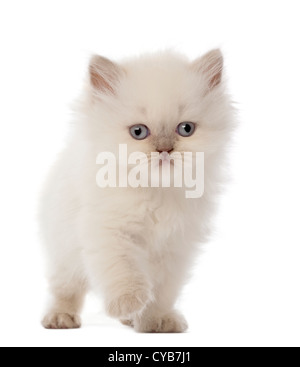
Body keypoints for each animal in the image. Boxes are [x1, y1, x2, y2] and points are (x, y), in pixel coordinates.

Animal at [39, 49, 236, 334]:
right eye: (139, 132)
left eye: (186, 129)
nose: (164, 149)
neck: (157, 191)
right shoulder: (110, 232)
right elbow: (124, 269)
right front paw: (127, 302)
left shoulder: (174, 249)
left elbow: (162, 292)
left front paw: (155, 320)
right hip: (64, 252)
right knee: (65, 288)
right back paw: (60, 317)